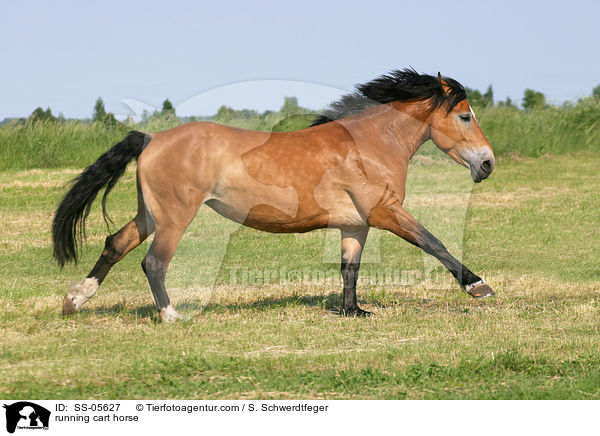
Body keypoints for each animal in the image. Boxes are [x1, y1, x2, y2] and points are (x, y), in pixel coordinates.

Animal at [54, 67, 496, 320]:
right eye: (464, 116)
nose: (487, 163)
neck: (367, 144)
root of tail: (152, 138)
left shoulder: (356, 224)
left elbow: (349, 268)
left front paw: (353, 312)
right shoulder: (385, 212)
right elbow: (433, 243)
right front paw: (478, 287)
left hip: (151, 214)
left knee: (116, 243)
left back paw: (75, 301)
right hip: (175, 217)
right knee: (153, 263)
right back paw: (171, 315)